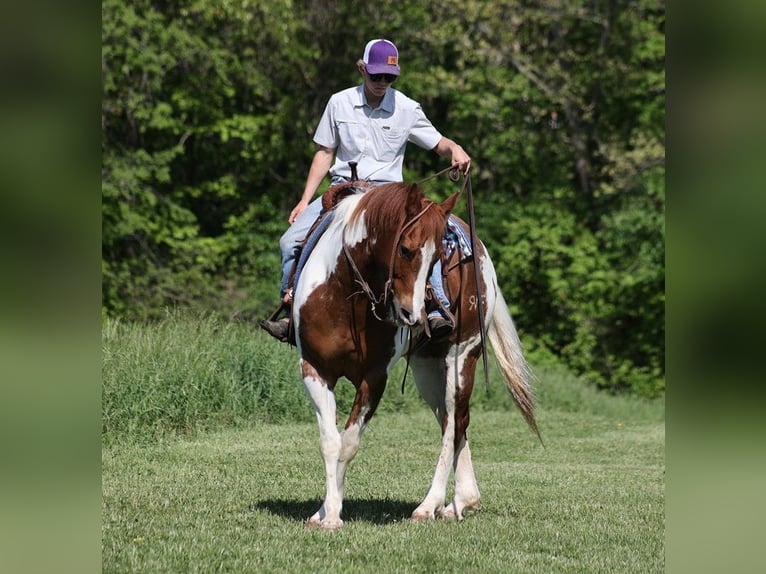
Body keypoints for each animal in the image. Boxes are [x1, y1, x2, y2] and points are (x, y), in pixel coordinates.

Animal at [290, 180, 540, 532]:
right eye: (405, 249)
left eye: (438, 257)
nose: (414, 313)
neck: (345, 296)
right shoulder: (314, 369)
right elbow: (331, 442)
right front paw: (325, 511)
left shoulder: (374, 378)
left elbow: (349, 443)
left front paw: (334, 515)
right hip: (427, 369)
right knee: (455, 421)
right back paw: (461, 501)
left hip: (461, 358)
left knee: (453, 425)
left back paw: (429, 505)